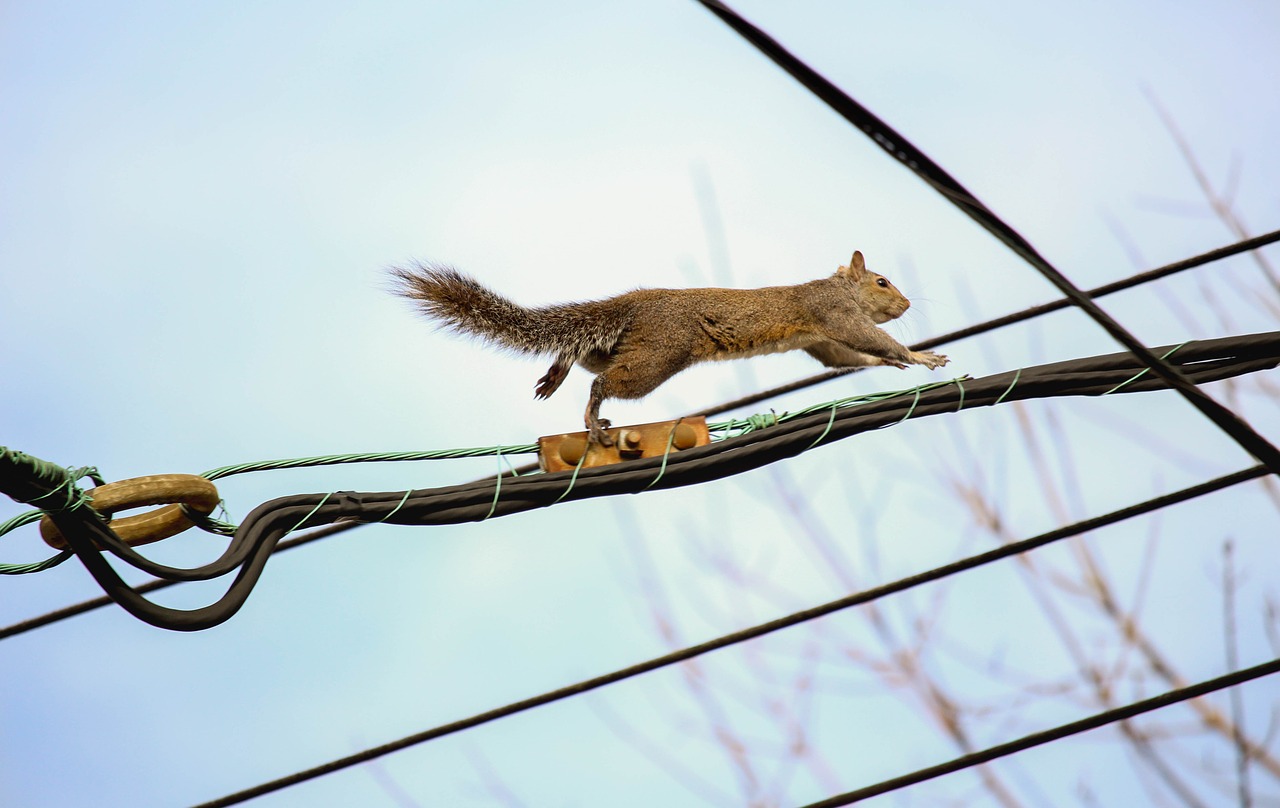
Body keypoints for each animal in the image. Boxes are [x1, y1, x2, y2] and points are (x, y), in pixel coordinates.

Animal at [389, 249, 952, 445]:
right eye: (881, 281)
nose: (906, 303)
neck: (839, 288)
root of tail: (634, 303)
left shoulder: (822, 339)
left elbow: (846, 358)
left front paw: (897, 363)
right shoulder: (833, 316)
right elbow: (870, 339)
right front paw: (918, 356)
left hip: (624, 345)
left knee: (584, 353)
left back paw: (556, 373)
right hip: (657, 357)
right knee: (603, 382)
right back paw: (592, 418)